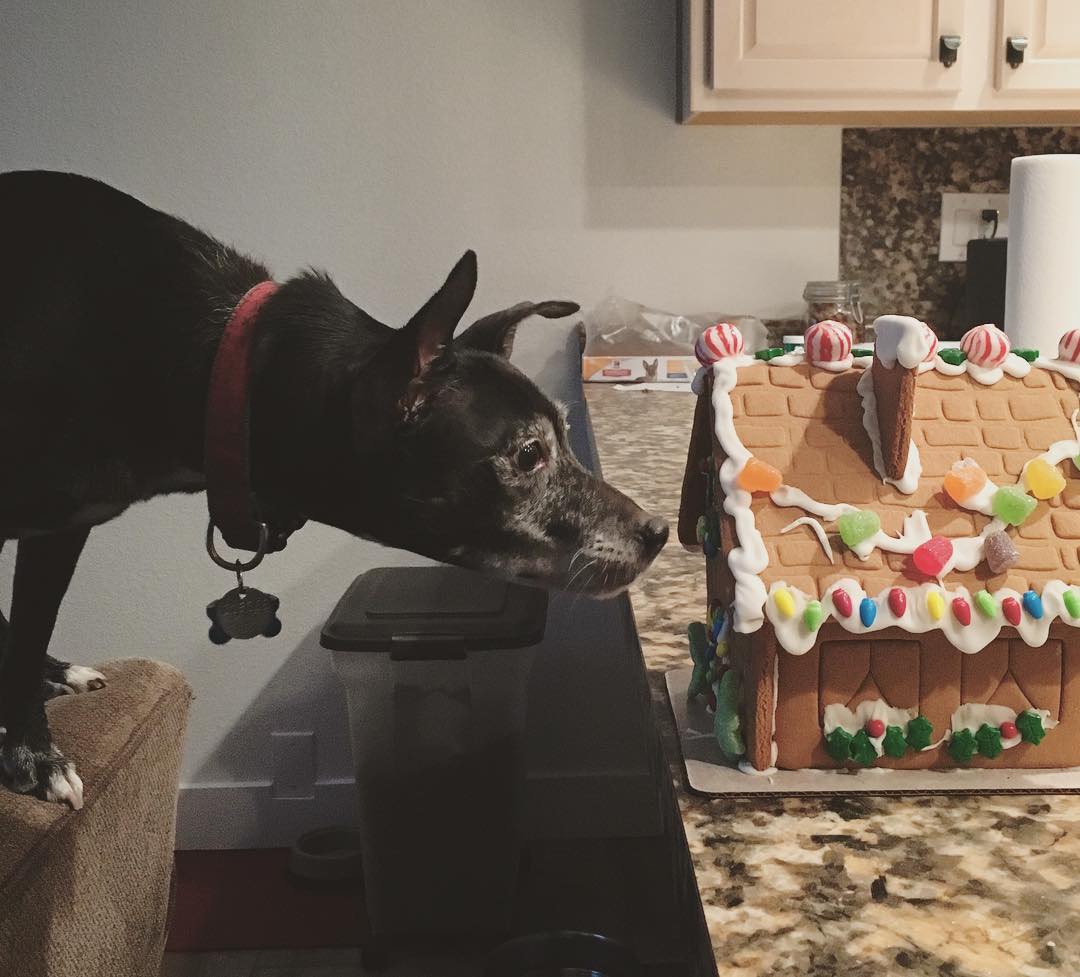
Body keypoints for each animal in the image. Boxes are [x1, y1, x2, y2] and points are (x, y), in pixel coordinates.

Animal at [0, 171, 665, 803]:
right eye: (529, 455)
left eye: (566, 435)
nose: (658, 532)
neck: (220, 371)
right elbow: (26, 629)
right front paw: (33, 757)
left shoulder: (64, 527)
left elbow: (28, 626)